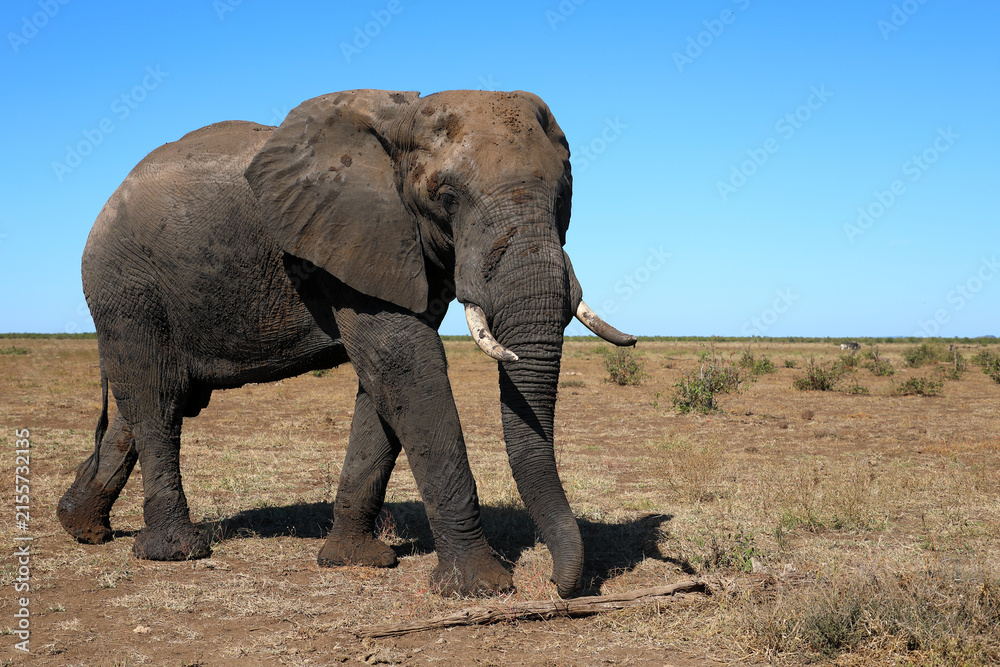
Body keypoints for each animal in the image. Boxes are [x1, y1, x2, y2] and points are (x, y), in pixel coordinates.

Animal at [57, 89, 636, 598]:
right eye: (446, 198)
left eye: (563, 196)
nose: (560, 586)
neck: (403, 120)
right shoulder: (355, 235)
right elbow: (405, 365)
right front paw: (480, 589)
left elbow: (381, 386)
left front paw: (354, 561)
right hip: (126, 288)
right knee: (155, 400)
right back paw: (176, 552)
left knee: (143, 406)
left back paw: (81, 528)